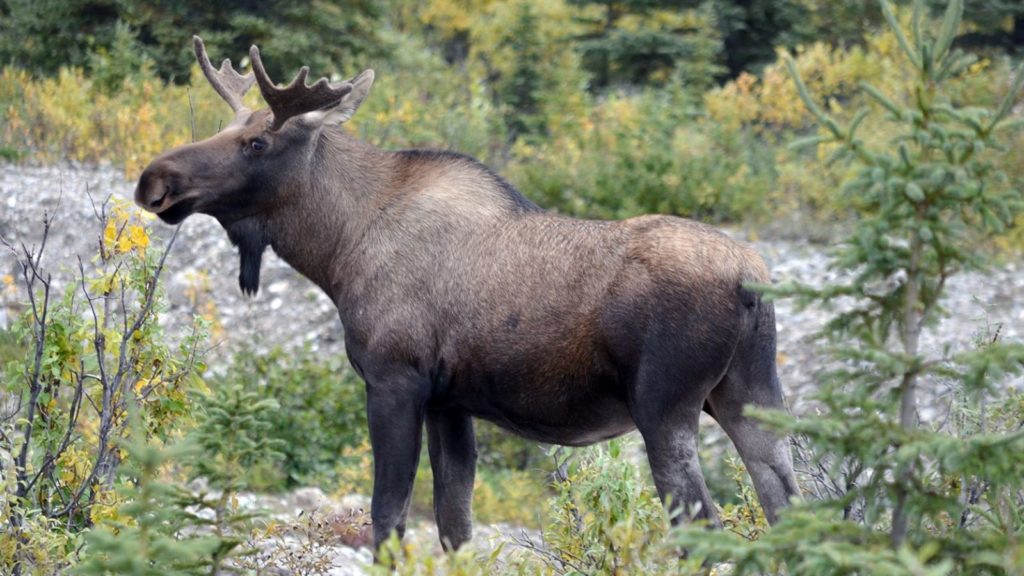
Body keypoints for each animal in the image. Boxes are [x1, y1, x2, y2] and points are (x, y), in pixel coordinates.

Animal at [136, 38, 802, 549]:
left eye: (257, 143)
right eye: (227, 127)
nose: (153, 180)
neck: (339, 249)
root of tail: (751, 284)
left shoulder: (394, 379)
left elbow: (389, 515)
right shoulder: (449, 401)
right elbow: (454, 522)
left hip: (664, 406)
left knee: (703, 524)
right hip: (750, 397)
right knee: (789, 508)